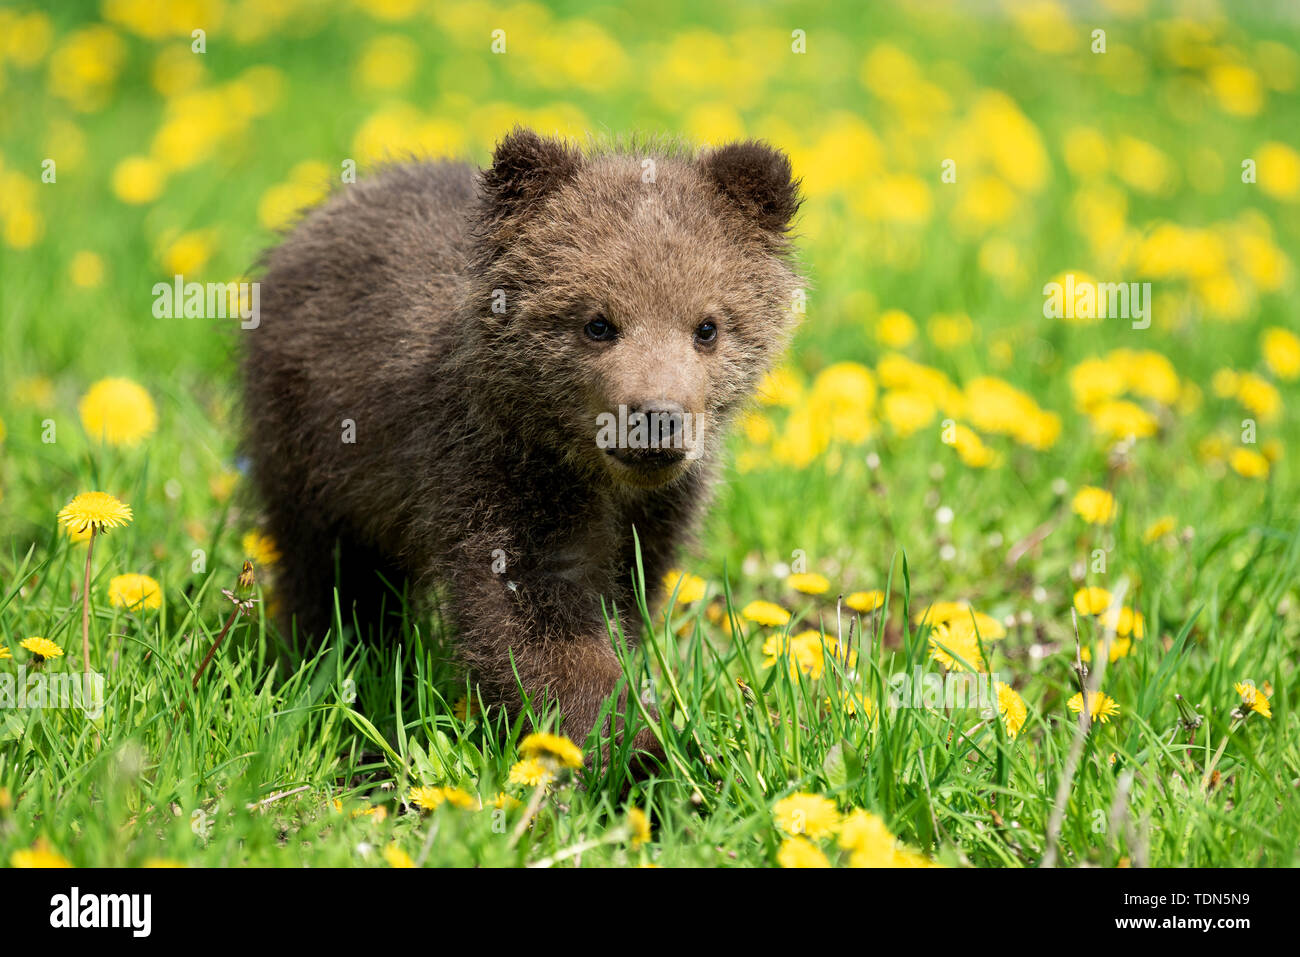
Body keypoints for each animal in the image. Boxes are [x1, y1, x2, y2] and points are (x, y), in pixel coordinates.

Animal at [241, 128, 803, 771]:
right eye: (597, 322)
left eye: (707, 326)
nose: (657, 419)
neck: (595, 475)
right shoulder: (497, 476)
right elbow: (535, 621)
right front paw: (640, 752)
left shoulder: (661, 509)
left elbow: (631, 590)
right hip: (310, 450)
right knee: (329, 570)